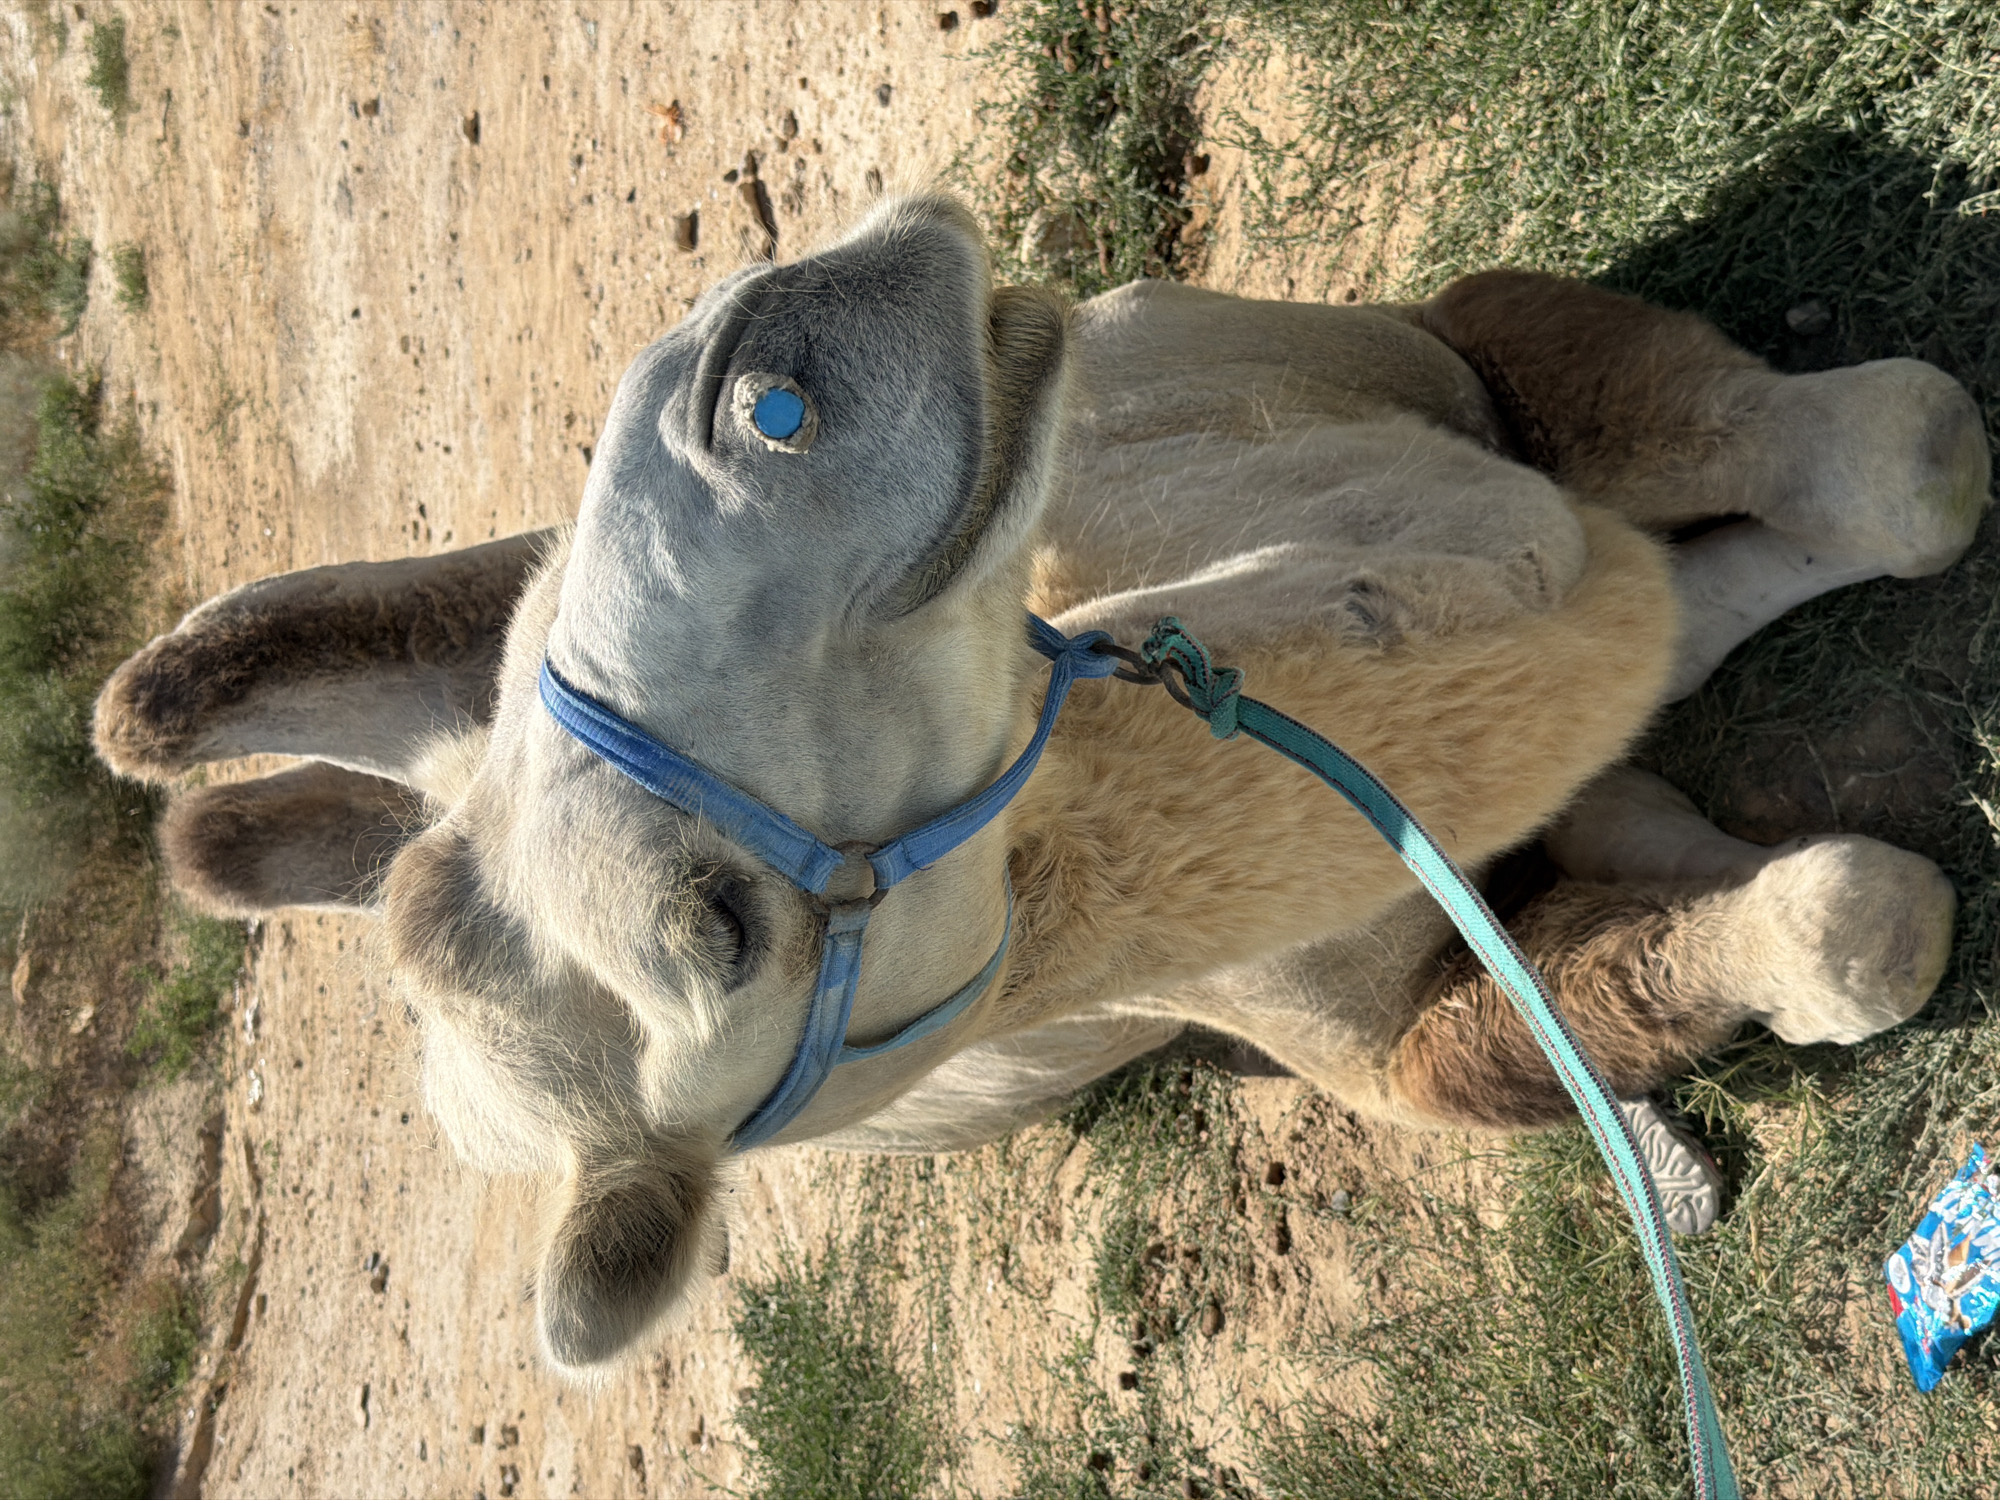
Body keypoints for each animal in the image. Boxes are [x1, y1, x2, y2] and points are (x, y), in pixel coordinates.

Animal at [94, 196, 1990, 1372]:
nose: (758, 370)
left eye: (556, 622)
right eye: (716, 936)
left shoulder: (1427, 360)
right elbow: (1847, 920)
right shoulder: (1373, 1034)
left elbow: (1902, 461)